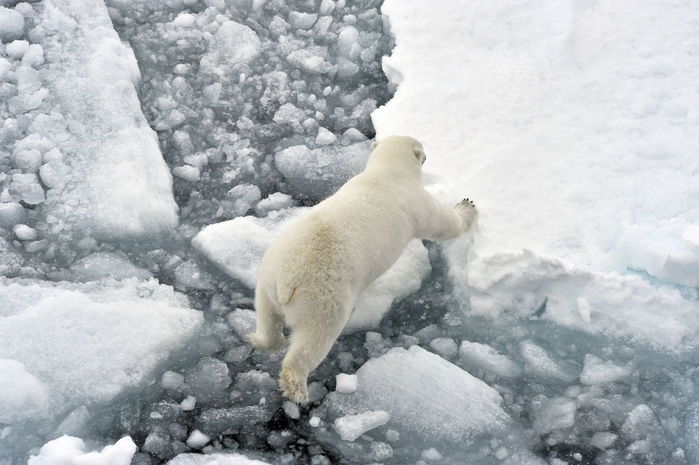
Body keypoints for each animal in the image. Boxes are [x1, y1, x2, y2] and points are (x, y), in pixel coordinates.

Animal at [247, 135, 482, 402]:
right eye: (421, 150)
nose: (427, 154)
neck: (386, 173)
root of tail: (288, 281)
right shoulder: (417, 202)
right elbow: (442, 224)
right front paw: (467, 205)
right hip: (323, 298)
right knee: (315, 337)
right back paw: (297, 387)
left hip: (267, 276)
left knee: (267, 315)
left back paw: (262, 339)